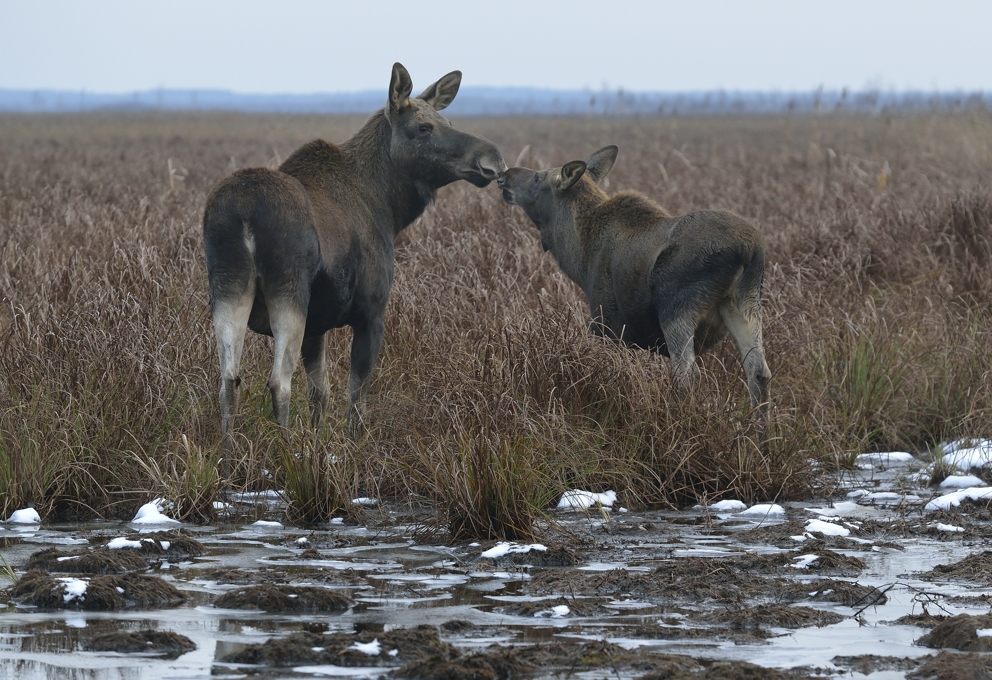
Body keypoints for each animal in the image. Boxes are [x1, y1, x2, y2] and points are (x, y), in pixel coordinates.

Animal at [206, 62, 508, 446]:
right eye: (423, 127)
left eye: (448, 122)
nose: (492, 159)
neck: (391, 207)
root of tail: (245, 211)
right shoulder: (371, 313)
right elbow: (356, 396)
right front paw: (353, 447)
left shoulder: (317, 325)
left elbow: (320, 393)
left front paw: (317, 446)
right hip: (288, 293)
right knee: (278, 382)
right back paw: (285, 451)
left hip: (228, 288)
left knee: (228, 380)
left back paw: (228, 453)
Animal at [500, 146, 772, 436]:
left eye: (538, 178)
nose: (505, 175)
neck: (578, 256)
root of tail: (747, 250)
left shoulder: (609, 327)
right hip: (745, 303)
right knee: (758, 371)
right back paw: (762, 442)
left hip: (677, 307)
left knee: (687, 374)